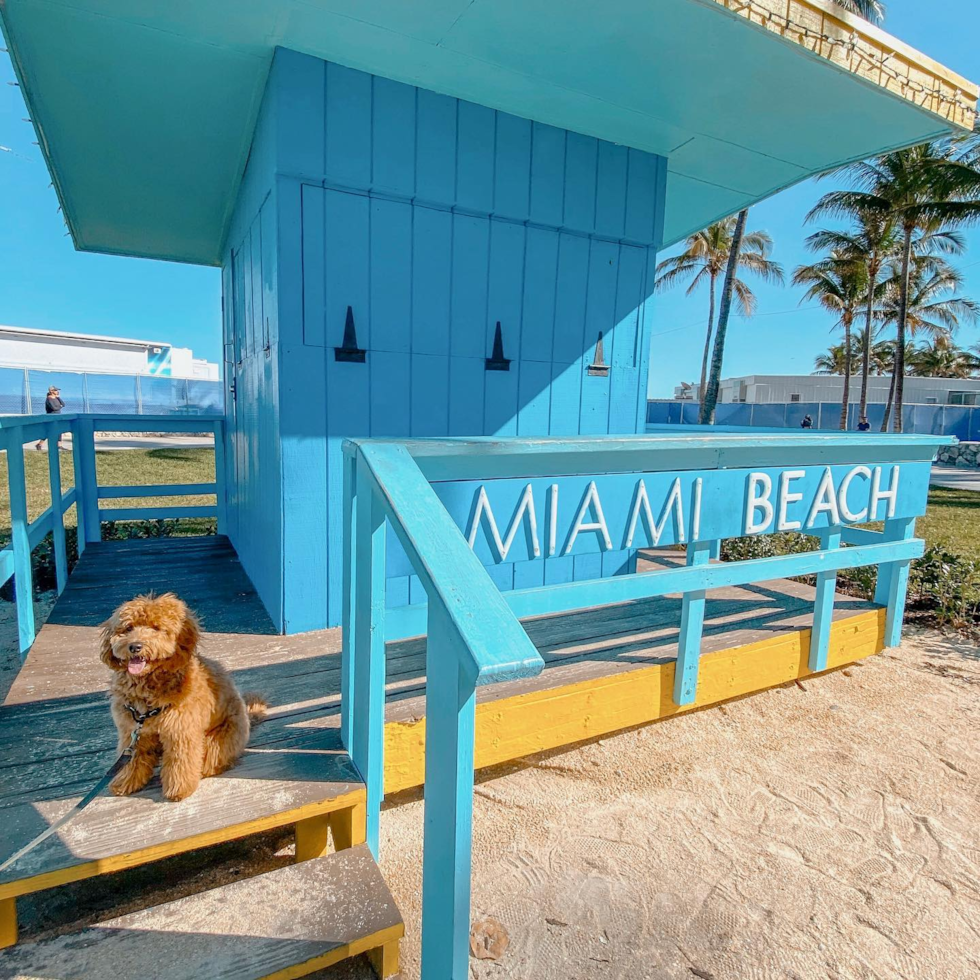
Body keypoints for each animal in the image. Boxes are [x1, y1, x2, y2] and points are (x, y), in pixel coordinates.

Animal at [101, 592, 266, 800]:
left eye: (156, 628)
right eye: (129, 628)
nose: (135, 646)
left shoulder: (180, 732)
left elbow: (179, 763)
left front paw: (178, 789)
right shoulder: (132, 732)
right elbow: (132, 759)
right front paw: (124, 782)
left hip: (217, 740)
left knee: (212, 760)